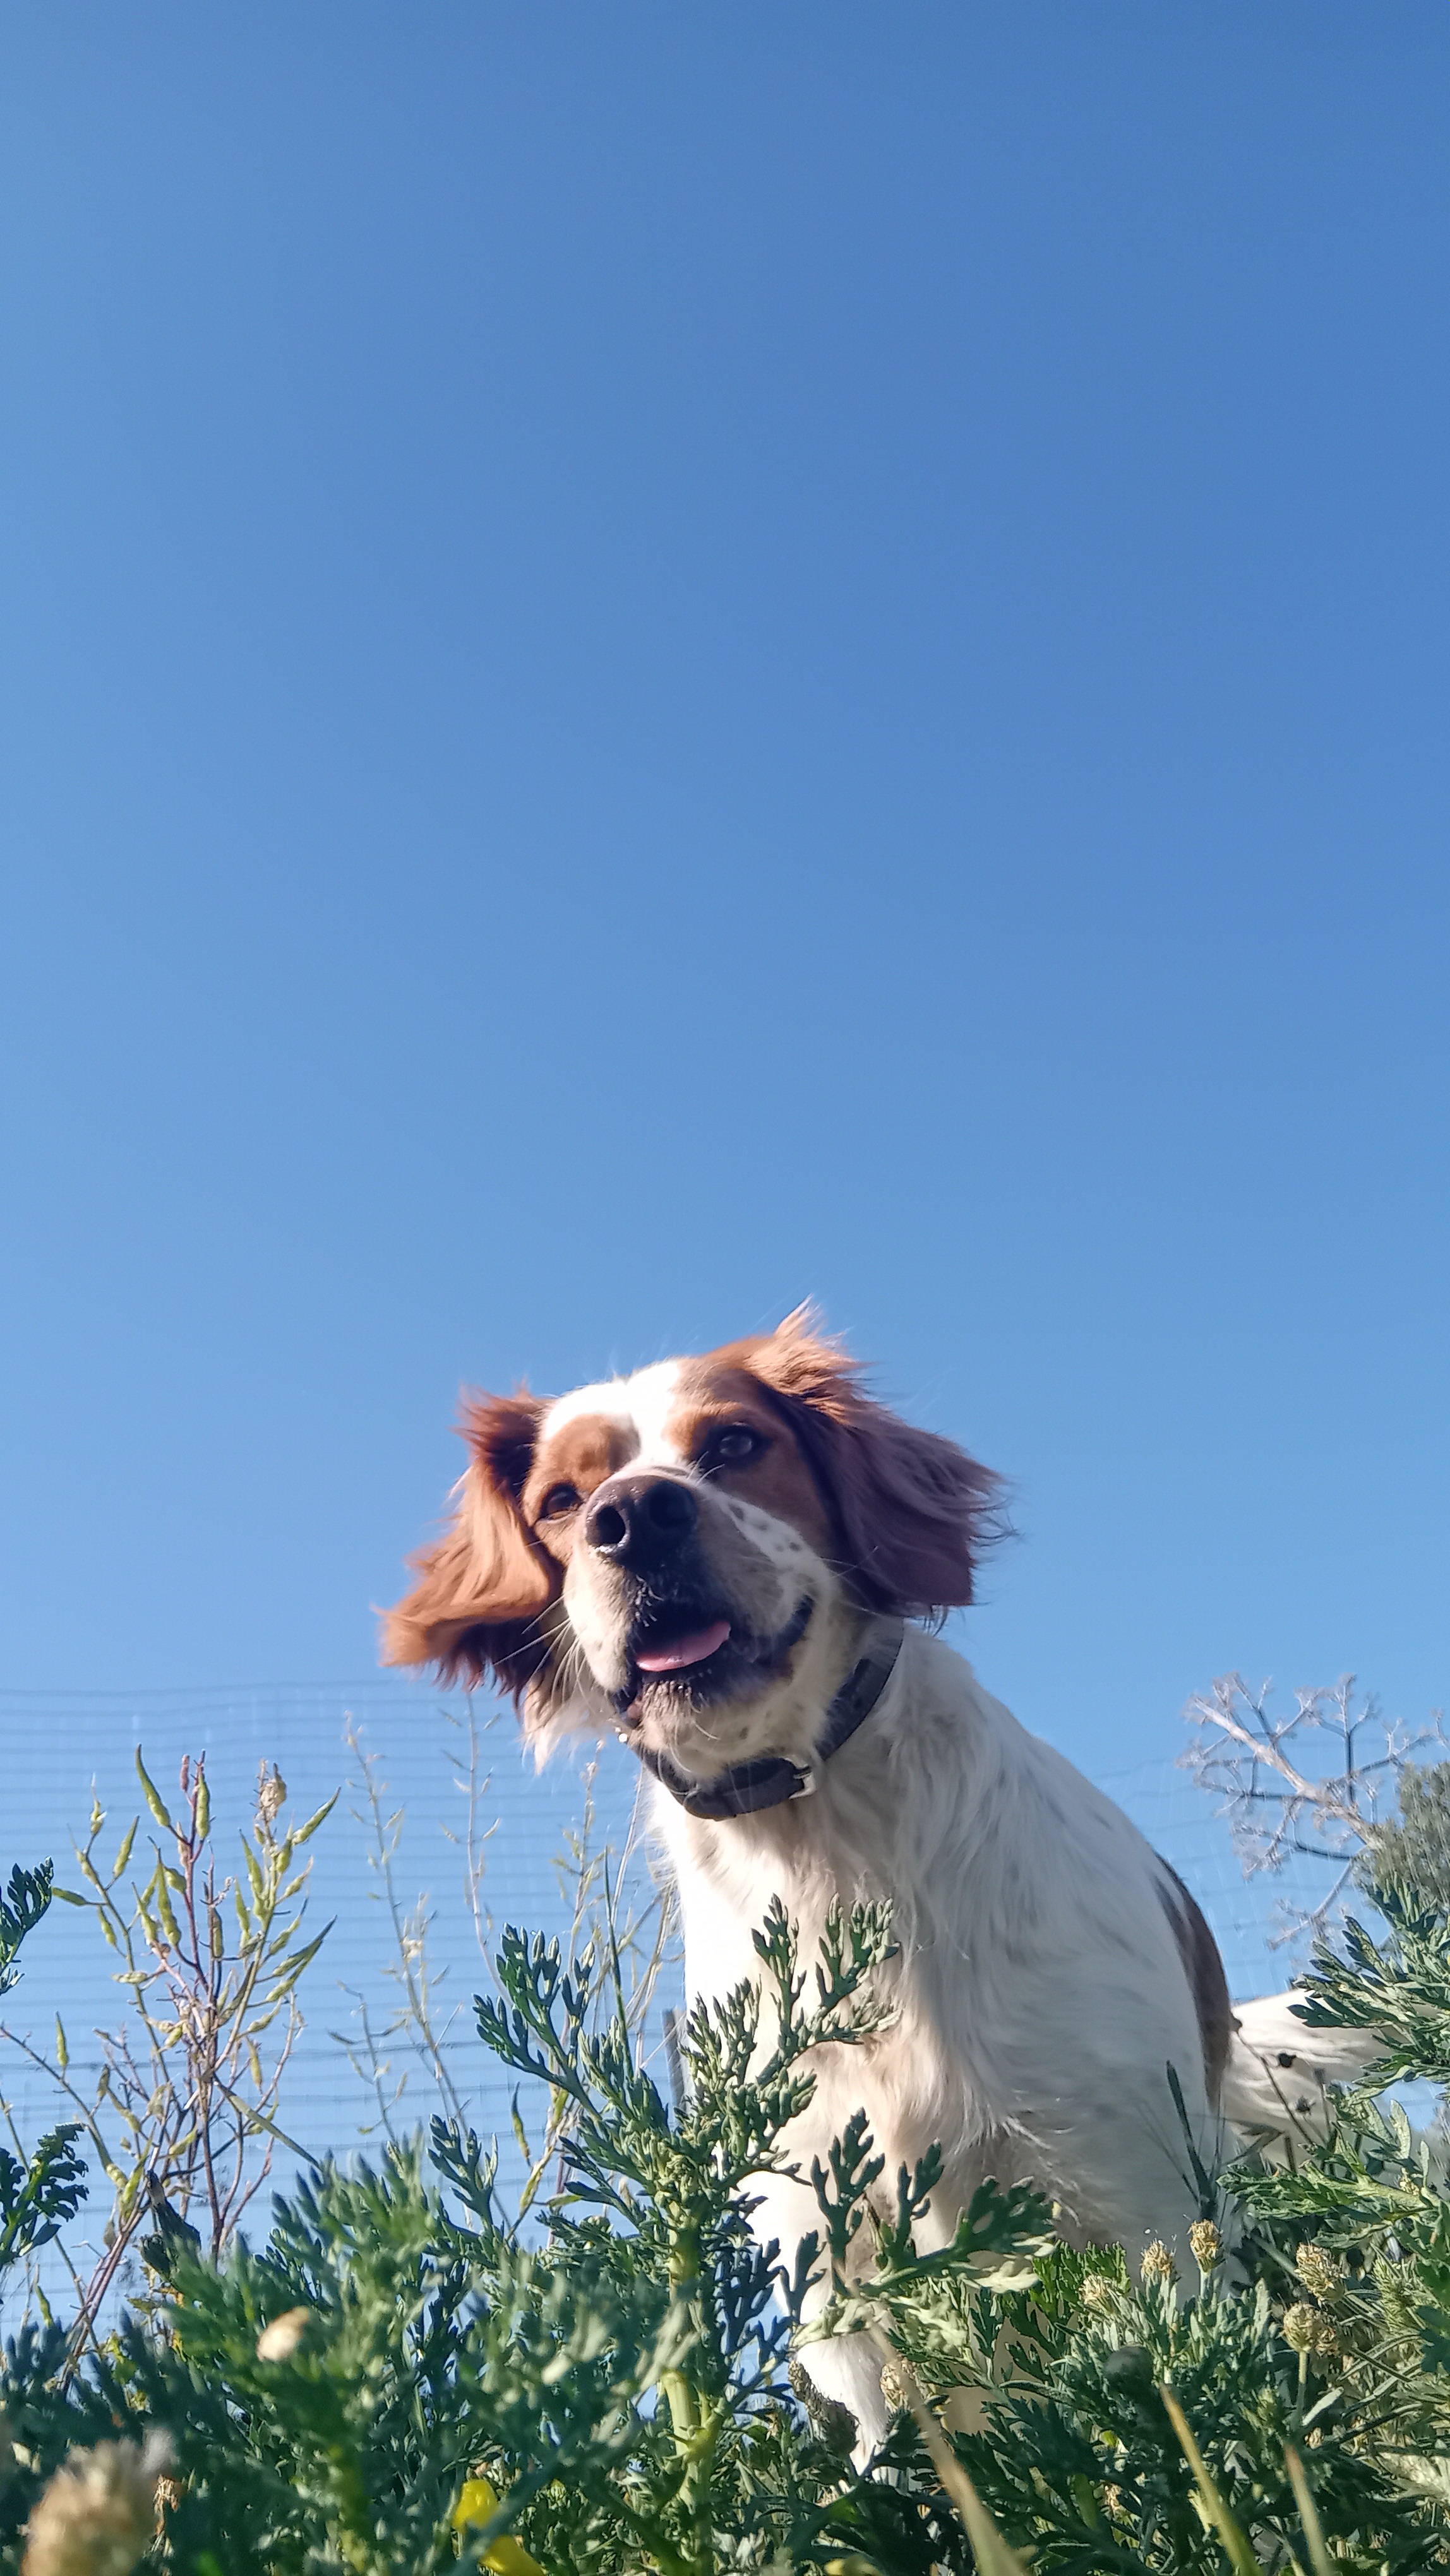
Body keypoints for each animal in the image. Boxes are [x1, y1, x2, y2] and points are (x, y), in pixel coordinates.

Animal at [384, 1308, 1369, 2443]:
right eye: (560, 1498)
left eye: (734, 1444)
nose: (632, 1517)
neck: (826, 1850)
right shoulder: (831, 2275)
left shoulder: (1142, 2199)